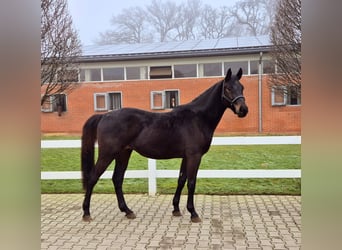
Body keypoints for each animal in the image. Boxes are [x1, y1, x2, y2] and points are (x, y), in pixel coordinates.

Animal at [82, 67, 248, 222]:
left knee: (117, 179)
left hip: (123, 154)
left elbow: (181, 180)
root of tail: (105, 115)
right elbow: (191, 182)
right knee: (93, 177)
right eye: (228, 88)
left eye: (242, 87)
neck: (198, 118)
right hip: (107, 154)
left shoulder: (186, 157)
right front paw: (193, 213)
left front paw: (176, 209)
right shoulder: (194, 156)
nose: (243, 110)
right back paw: (86, 213)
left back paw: (127, 211)